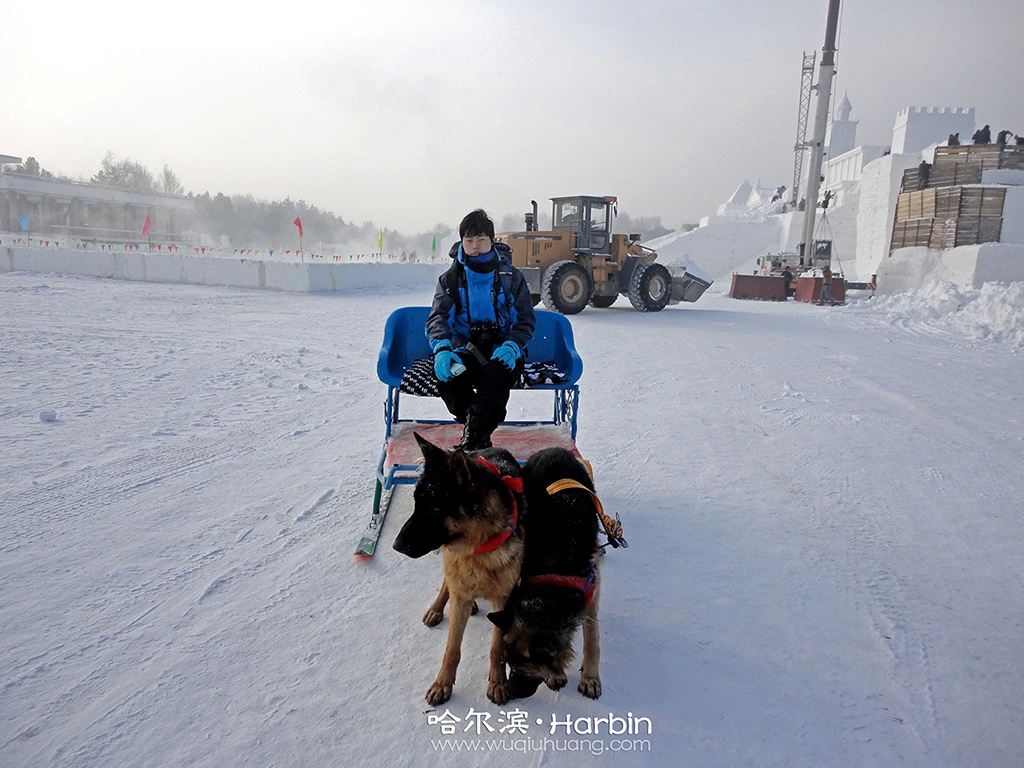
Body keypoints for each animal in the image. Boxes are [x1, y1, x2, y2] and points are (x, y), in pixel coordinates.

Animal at [389, 436, 524, 708]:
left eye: (434, 509)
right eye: (416, 504)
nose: (396, 545)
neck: (478, 547)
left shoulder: (503, 599)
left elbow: (497, 648)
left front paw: (498, 682)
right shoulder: (459, 584)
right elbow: (452, 648)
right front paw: (442, 684)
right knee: (448, 583)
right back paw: (437, 608)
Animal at [485, 448, 598, 700]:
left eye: (527, 670)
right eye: (510, 664)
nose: (514, 693)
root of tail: (554, 449)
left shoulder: (592, 589)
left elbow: (593, 639)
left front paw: (590, 677)